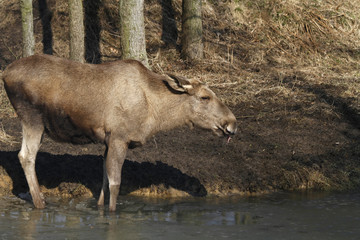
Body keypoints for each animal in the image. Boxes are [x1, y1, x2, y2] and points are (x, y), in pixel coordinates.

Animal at [2, 54, 238, 210]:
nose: (232, 123)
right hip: (32, 118)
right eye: (205, 97)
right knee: (26, 156)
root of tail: (5, 72)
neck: (154, 113)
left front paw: (99, 209)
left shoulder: (108, 141)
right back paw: (40, 202)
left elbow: (104, 182)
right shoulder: (119, 137)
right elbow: (115, 183)